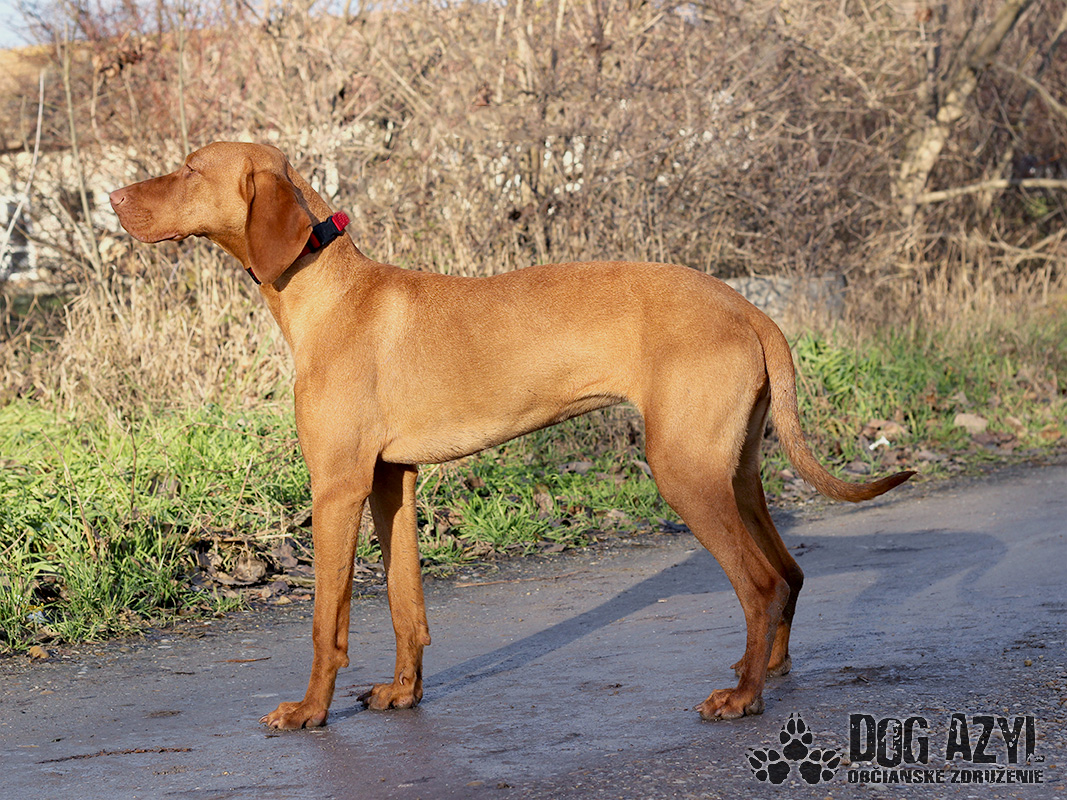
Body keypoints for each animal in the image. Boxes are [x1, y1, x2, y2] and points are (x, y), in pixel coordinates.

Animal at [110, 142, 913, 729]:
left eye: (189, 169)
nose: (113, 199)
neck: (329, 293)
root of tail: (749, 306)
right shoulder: (391, 481)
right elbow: (405, 603)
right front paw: (403, 694)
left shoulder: (336, 486)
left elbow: (325, 619)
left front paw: (310, 711)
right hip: (733, 469)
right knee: (789, 572)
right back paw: (765, 671)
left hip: (684, 471)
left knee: (759, 582)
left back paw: (741, 697)